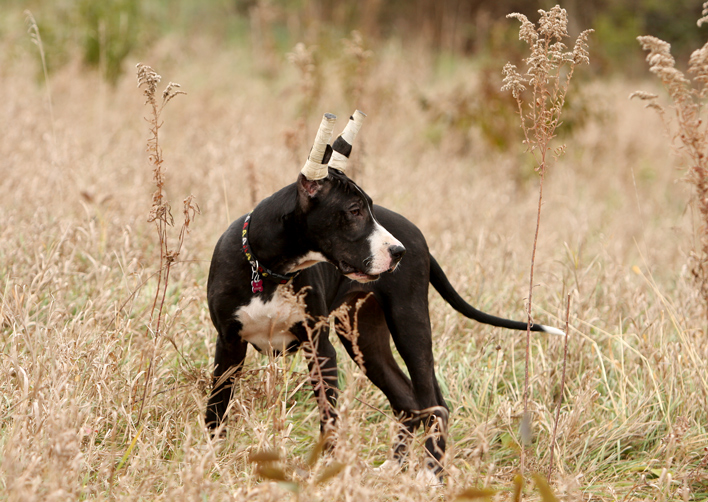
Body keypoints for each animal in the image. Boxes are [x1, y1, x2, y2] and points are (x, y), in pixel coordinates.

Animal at [206, 112, 564, 480]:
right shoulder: (229, 344)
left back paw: (431, 474)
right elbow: (217, 405)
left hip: (409, 324)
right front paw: (210, 458)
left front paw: (326, 470)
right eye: (354, 211)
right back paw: (395, 466)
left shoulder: (320, 349)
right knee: (407, 400)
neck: (269, 271)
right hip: (365, 337)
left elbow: (328, 419)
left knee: (435, 403)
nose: (398, 252)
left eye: (370, 209)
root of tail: (419, 239)